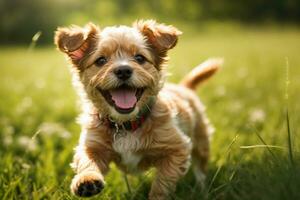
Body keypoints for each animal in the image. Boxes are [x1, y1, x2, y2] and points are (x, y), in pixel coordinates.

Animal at [54, 19, 223, 199]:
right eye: (100, 60)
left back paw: (202, 187)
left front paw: (157, 196)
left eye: (140, 58)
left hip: (201, 141)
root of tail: (184, 87)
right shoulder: (92, 145)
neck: (125, 124)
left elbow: (162, 183)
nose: (123, 70)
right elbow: (87, 160)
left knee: (201, 167)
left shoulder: (177, 149)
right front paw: (87, 180)